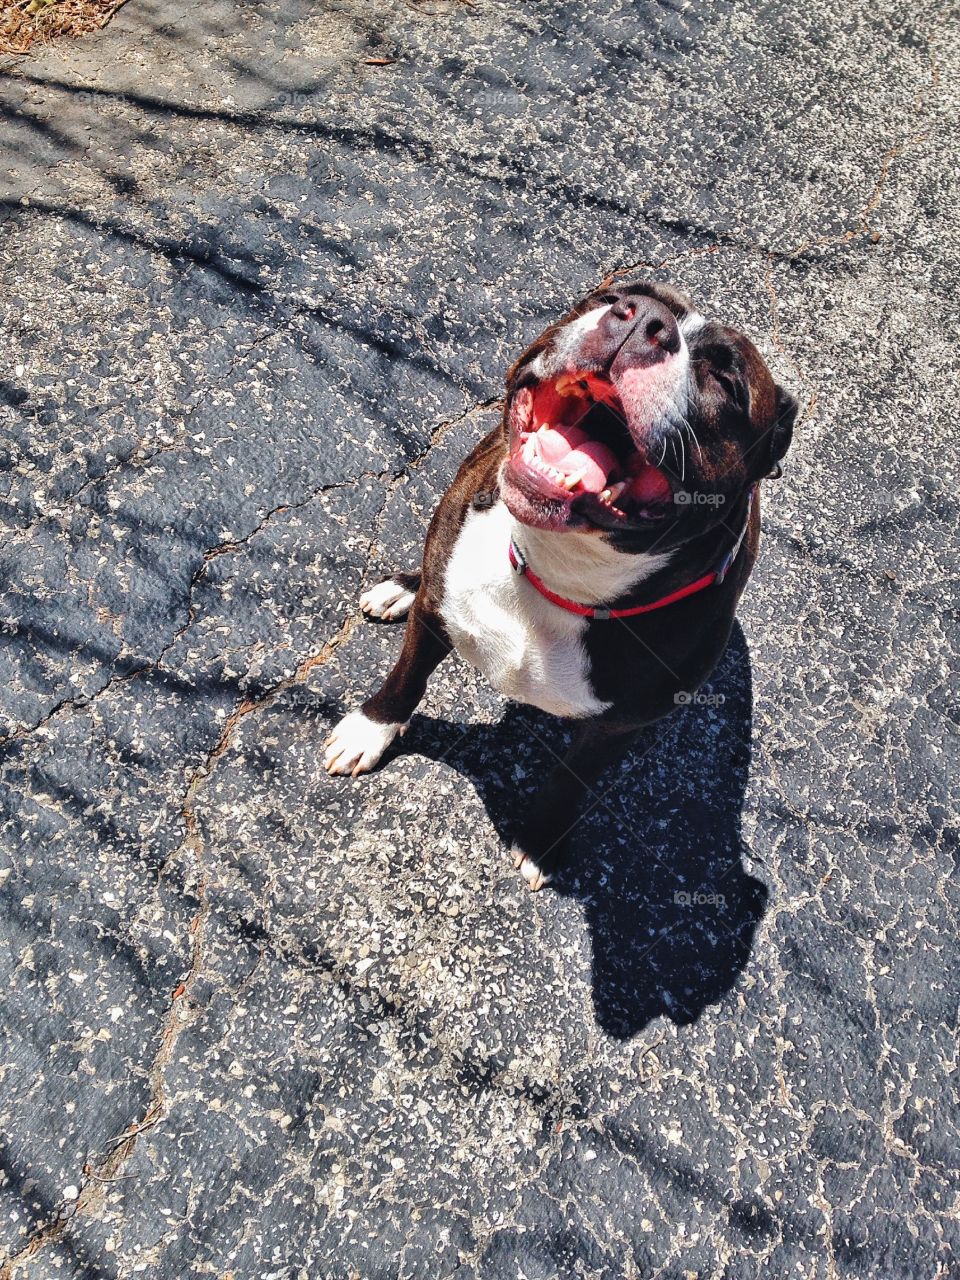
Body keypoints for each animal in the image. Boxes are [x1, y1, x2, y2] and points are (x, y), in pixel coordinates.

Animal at [323, 282, 798, 890]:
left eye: (726, 380)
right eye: (616, 296)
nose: (643, 320)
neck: (557, 571)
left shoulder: (619, 725)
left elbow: (574, 777)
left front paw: (542, 839)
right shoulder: (435, 608)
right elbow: (406, 677)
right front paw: (369, 730)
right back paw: (399, 588)